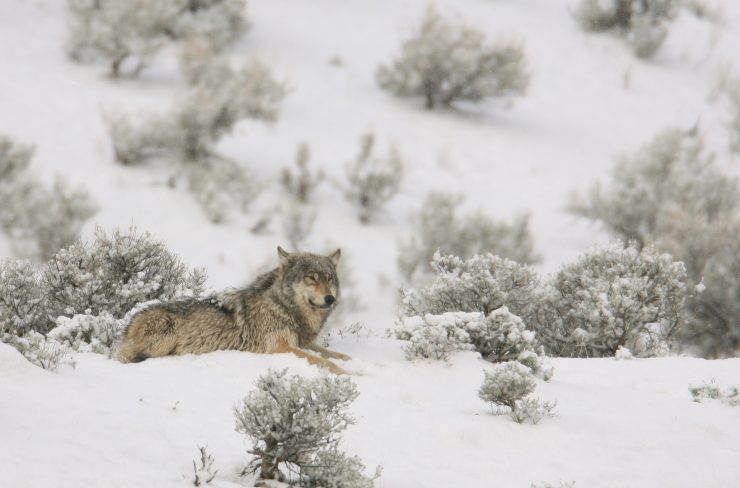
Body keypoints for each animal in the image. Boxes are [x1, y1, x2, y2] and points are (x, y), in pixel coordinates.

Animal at [116, 246, 352, 376]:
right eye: (311, 277)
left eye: (329, 279)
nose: (330, 299)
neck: (284, 307)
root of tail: (126, 329)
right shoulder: (280, 347)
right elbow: (327, 362)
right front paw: (350, 374)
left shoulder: (304, 343)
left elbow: (337, 355)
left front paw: (357, 364)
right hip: (167, 330)